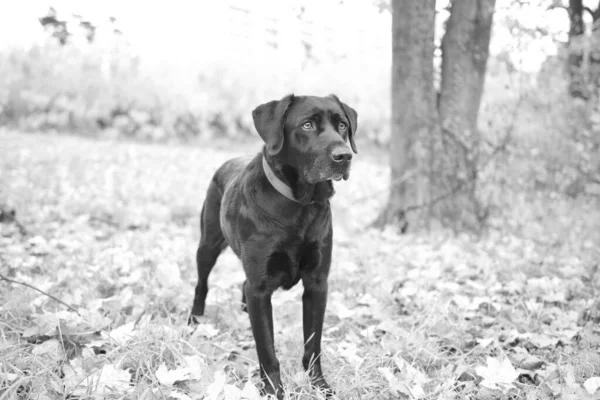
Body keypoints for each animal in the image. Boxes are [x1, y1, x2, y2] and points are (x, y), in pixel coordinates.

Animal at [189, 94, 356, 396]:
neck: (299, 205)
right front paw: (274, 391)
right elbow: (266, 348)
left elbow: (313, 344)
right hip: (207, 244)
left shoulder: (317, 283)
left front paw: (320, 386)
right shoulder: (260, 286)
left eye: (343, 126)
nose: (344, 156)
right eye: (307, 125)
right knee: (201, 284)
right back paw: (194, 321)